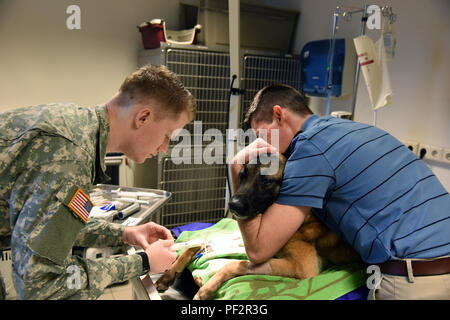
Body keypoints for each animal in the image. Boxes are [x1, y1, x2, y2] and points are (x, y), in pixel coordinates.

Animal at [156, 154, 360, 298]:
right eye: (242, 176)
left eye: (267, 180)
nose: (233, 205)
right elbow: (198, 244)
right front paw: (169, 274)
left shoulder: (303, 268)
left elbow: (236, 264)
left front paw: (206, 289)